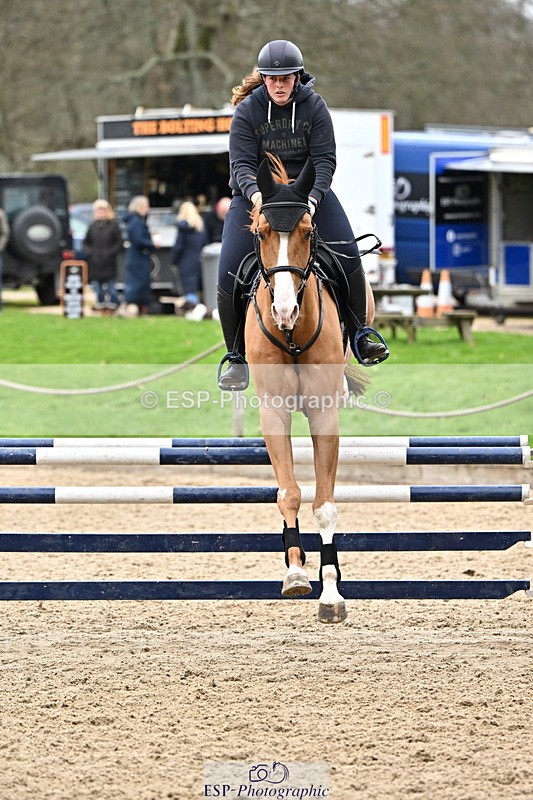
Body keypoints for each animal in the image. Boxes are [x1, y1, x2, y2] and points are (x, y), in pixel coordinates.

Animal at [244, 155, 376, 623]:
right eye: (261, 233)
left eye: (307, 231)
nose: (284, 310)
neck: (293, 334)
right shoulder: (273, 412)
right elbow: (289, 493)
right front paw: (297, 573)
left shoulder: (324, 415)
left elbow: (324, 504)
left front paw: (331, 594)